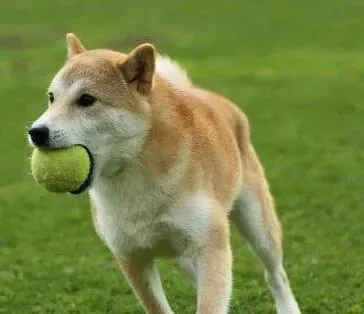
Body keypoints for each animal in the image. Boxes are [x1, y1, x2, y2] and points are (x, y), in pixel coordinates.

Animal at [27, 33, 302, 312]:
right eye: (51, 97)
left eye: (86, 99)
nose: (36, 132)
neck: (136, 171)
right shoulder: (131, 256)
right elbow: (158, 306)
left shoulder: (209, 245)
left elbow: (211, 301)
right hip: (180, 253)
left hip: (257, 224)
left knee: (275, 275)